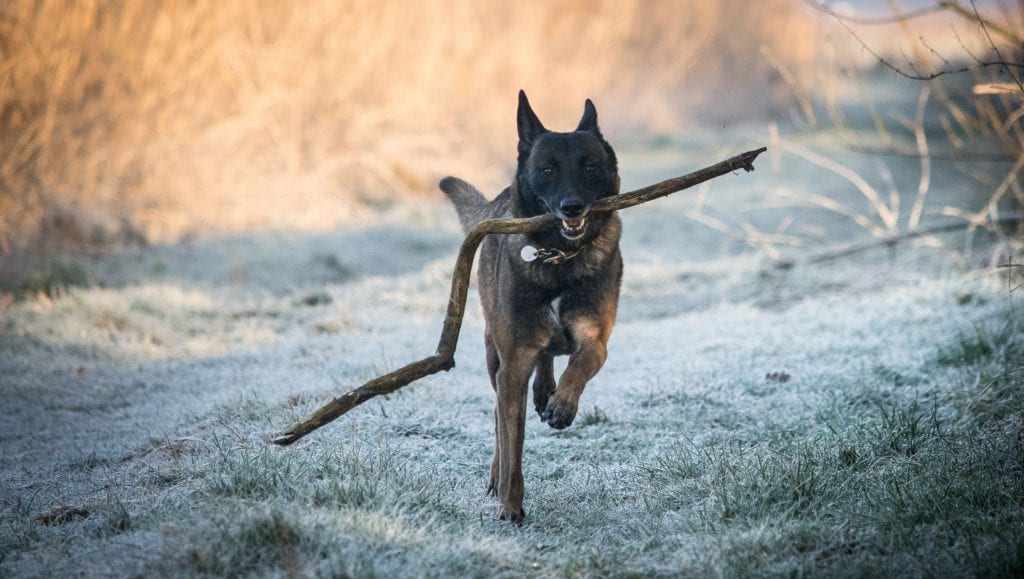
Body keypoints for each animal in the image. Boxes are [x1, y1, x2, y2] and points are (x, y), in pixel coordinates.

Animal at [438, 91, 618, 524]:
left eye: (590, 167)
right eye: (547, 169)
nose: (572, 207)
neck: (559, 257)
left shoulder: (596, 339)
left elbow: (579, 366)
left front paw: (562, 405)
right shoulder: (514, 363)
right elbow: (512, 442)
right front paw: (510, 503)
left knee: (551, 356)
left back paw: (547, 391)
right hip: (495, 355)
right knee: (498, 419)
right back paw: (496, 474)